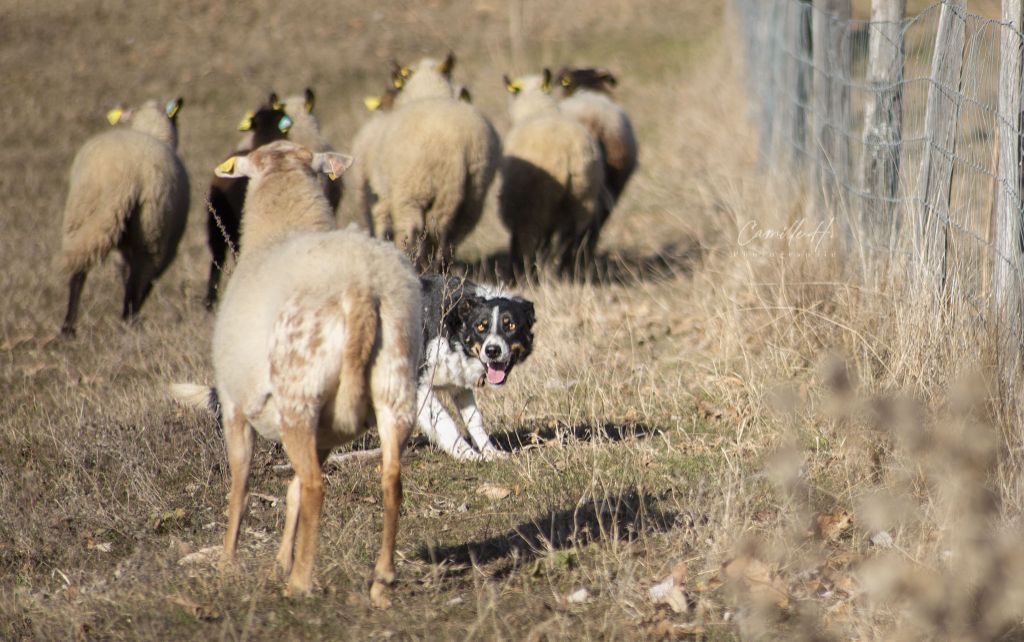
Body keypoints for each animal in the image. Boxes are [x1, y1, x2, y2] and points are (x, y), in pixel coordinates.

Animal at [58, 99, 191, 335]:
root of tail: (125, 178)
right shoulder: (166, 247)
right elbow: (143, 282)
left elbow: (123, 272)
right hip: (152, 231)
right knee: (138, 278)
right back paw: (128, 322)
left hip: (81, 216)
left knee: (79, 273)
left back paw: (68, 329)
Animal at [199, 138, 419, 606]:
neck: (282, 227)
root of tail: (360, 287)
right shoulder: (322, 434)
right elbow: (293, 489)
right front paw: (281, 560)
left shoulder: (234, 406)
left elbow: (241, 486)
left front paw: (228, 564)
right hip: (395, 384)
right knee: (390, 477)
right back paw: (381, 579)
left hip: (298, 393)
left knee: (318, 486)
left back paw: (301, 585)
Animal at [415, 276, 536, 462]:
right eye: (481, 327)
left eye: (510, 326)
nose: (492, 351)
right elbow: (444, 420)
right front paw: (468, 454)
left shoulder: (459, 385)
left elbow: (474, 418)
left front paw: (491, 452)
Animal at [497, 71, 602, 280]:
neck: (537, 110)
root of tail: (570, 155)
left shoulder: (515, 205)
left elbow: (517, 240)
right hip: (580, 200)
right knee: (566, 240)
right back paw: (558, 273)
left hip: (537, 203)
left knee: (533, 242)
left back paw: (529, 274)